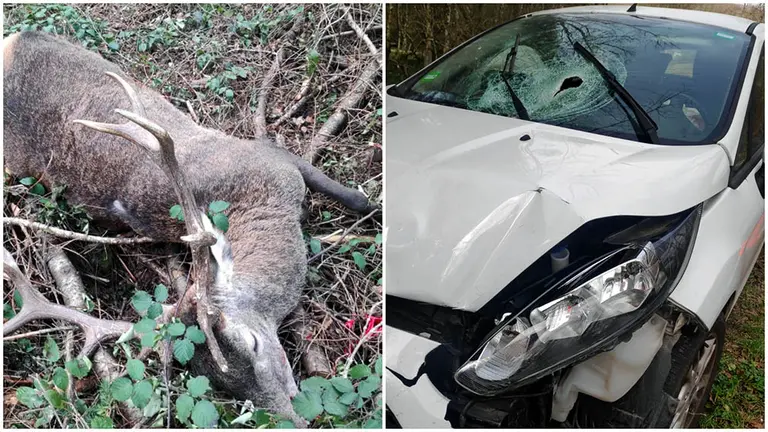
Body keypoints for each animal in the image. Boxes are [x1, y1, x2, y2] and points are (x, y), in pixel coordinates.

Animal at [3, 31, 377, 426]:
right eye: (223, 383)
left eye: (251, 342)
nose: (289, 419)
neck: (267, 206)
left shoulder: (270, 155)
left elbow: (354, 197)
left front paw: (376, 207)